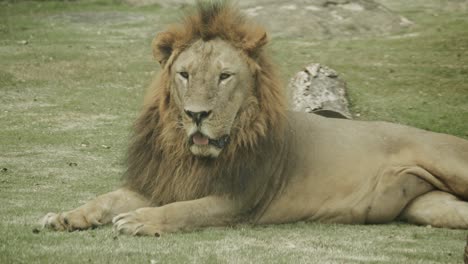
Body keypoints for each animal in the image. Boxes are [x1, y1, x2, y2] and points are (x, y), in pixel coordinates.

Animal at [42, 1, 468, 237]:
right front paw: (65, 217)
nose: (197, 114)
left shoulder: (238, 200)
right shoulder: (163, 181)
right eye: (185, 74)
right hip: (428, 206)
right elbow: (106, 198)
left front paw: (140, 220)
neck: (187, 156)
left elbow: (184, 210)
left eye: (224, 76)